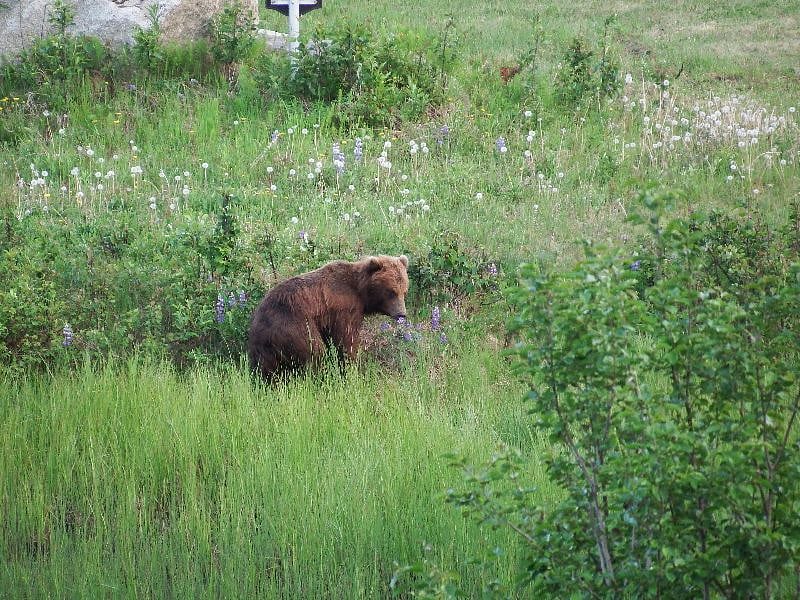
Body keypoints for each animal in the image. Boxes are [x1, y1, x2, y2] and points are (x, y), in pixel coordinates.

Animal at [247, 254, 409, 380]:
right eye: (391, 291)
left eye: (404, 290)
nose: (401, 313)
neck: (360, 292)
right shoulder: (343, 308)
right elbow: (347, 339)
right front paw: (351, 366)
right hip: (293, 326)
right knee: (314, 351)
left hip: (265, 345)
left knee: (267, 369)